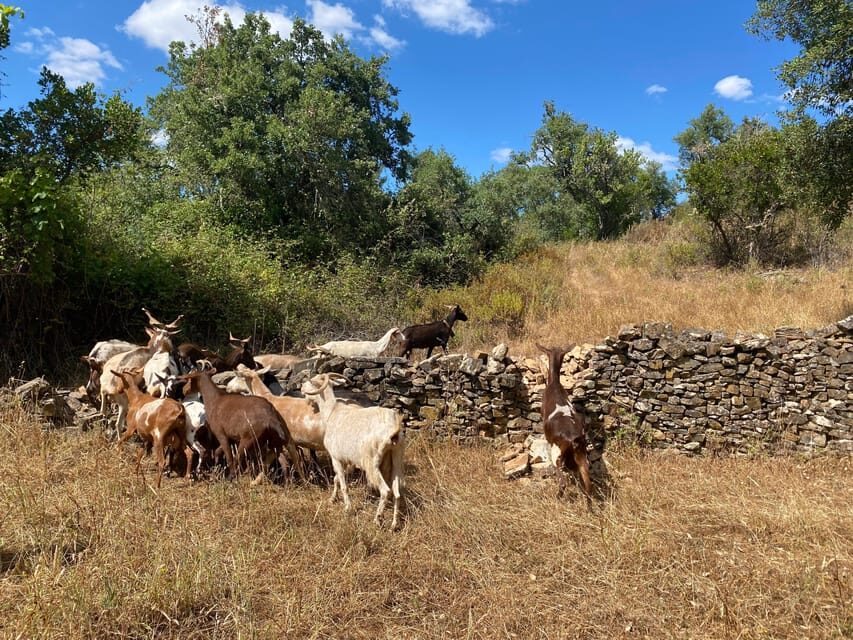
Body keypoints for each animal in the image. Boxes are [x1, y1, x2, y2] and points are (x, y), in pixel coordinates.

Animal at [301, 373, 404, 530]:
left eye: (312, 380)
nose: (301, 389)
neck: (332, 412)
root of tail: (394, 429)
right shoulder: (346, 461)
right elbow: (337, 478)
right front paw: (332, 498)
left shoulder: (335, 458)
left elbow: (343, 484)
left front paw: (347, 508)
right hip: (396, 459)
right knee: (397, 492)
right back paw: (394, 524)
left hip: (372, 463)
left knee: (385, 491)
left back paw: (377, 519)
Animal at [537, 344, 592, 500]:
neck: (554, 383)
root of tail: (573, 439)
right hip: (581, 456)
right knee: (587, 483)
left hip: (557, 454)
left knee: (562, 482)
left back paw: (558, 497)